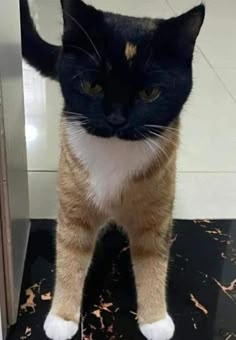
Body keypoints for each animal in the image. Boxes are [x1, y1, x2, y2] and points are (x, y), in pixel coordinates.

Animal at [20, 1, 205, 338]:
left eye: (150, 93)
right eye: (92, 85)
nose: (116, 119)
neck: (115, 149)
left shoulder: (154, 215)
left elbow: (153, 260)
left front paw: (155, 319)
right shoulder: (74, 208)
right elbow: (70, 254)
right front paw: (62, 317)